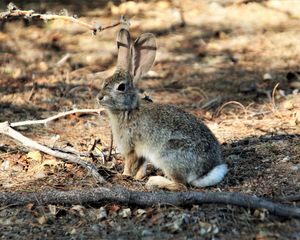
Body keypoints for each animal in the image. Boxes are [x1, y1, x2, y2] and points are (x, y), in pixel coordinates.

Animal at [96, 27, 227, 190]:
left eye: (121, 87)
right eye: (105, 81)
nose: (99, 97)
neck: (128, 110)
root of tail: (205, 172)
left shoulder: (131, 146)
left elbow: (129, 163)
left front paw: (124, 175)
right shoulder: (142, 152)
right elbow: (141, 165)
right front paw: (138, 177)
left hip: (168, 156)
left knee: (181, 185)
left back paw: (155, 181)